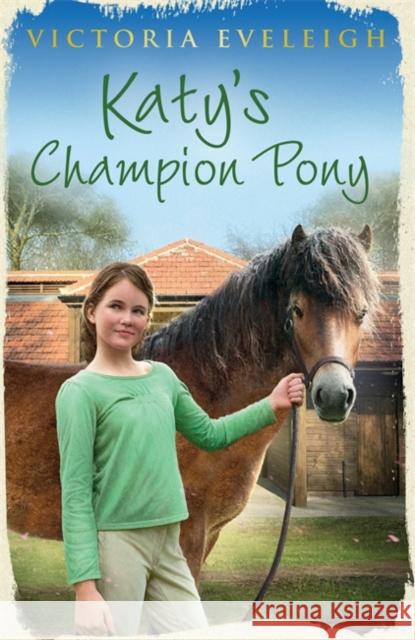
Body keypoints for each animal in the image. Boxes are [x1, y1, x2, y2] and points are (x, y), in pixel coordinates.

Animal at [5, 225, 379, 583]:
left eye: (361, 313)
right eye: (297, 310)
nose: (334, 395)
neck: (206, 393)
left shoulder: (207, 536)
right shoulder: (185, 537)